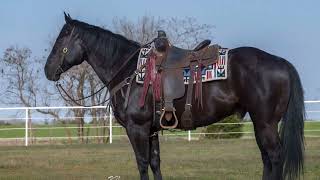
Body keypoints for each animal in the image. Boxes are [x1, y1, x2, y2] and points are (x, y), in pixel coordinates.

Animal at [43, 14, 304, 180]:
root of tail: (281, 63)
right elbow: (155, 163)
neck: (130, 71)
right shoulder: (151, 130)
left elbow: (142, 164)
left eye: (61, 40)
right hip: (262, 123)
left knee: (274, 156)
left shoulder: (137, 128)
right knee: (267, 158)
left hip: (266, 123)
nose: (48, 70)